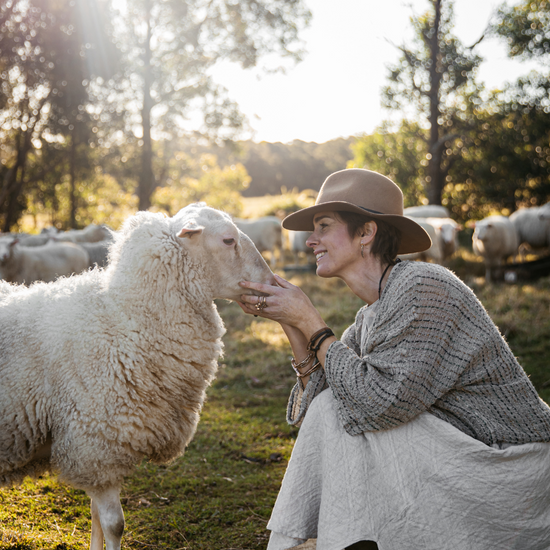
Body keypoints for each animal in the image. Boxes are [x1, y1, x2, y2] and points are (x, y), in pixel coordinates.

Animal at [0, 205, 276, 550]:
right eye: (228, 240)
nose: (271, 282)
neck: (126, 320)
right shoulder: (96, 446)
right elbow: (113, 524)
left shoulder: (95, 453)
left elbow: (95, 517)